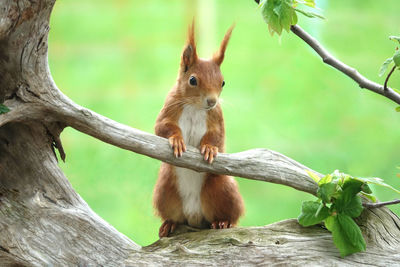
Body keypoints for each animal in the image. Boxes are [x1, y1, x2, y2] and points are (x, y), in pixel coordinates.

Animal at [153, 22, 244, 239]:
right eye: (192, 80)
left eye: (223, 82)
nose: (212, 101)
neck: (195, 107)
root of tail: (194, 216)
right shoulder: (170, 107)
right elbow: (161, 127)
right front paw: (177, 140)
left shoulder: (216, 116)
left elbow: (218, 137)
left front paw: (209, 148)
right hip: (164, 191)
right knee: (173, 215)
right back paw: (169, 224)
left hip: (222, 188)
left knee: (230, 214)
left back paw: (223, 222)